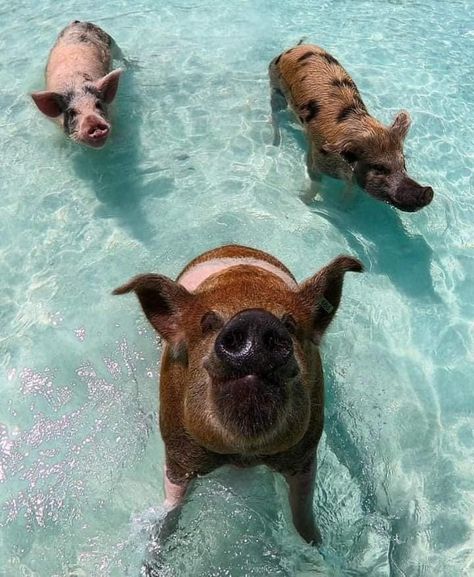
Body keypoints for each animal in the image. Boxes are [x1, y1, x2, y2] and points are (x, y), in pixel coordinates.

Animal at [113, 243, 362, 544]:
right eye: (207, 322)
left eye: (290, 324)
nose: (255, 320)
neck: (243, 454)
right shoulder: (176, 450)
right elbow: (172, 503)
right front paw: (157, 543)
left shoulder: (304, 450)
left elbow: (302, 511)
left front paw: (318, 544)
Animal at [268, 44, 436, 212]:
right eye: (379, 168)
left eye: (403, 165)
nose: (428, 192)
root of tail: (296, 47)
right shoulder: (315, 158)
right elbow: (316, 181)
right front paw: (304, 201)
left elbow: (350, 192)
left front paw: (344, 207)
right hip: (276, 86)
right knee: (274, 113)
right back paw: (275, 142)